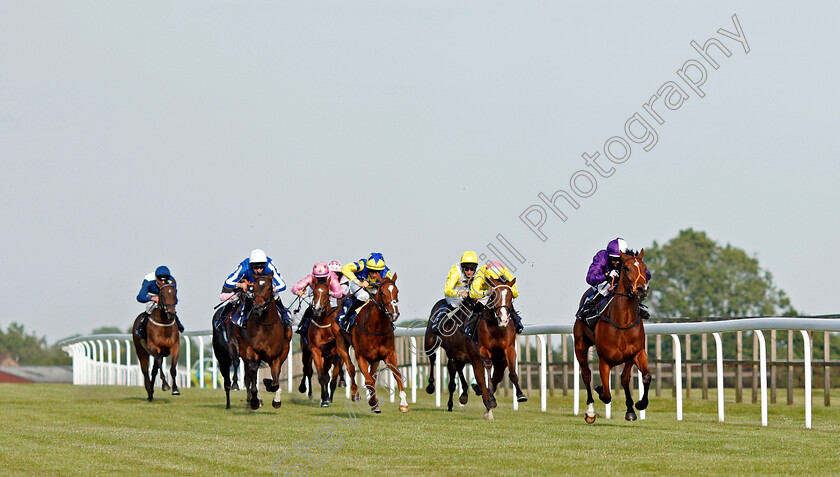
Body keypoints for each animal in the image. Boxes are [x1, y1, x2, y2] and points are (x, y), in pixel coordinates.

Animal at [230, 272, 296, 410]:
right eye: (253, 287)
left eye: (269, 288)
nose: (257, 307)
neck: (266, 326)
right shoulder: (252, 351)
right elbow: (253, 372)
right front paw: (255, 400)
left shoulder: (276, 356)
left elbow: (275, 381)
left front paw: (271, 390)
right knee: (250, 374)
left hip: (285, 350)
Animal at [476, 276, 528, 416]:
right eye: (494, 296)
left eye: (511, 296)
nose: (503, 319)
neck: (497, 328)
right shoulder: (483, 349)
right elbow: (488, 368)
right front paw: (491, 399)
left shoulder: (509, 349)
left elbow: (512, 373)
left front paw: (520, 395)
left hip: (501, 362)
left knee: (497, 377)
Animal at [576, 247, 652, 422]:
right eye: (627, 268)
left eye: (645, 268)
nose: (642, 289)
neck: (622, 322)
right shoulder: (604, 361)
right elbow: (606, 394)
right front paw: (598, 389)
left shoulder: (637, 353)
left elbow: (643, 377)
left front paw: (639, 405)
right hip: (580, 346)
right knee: (586, 374)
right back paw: (590, 412)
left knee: (624, 379)